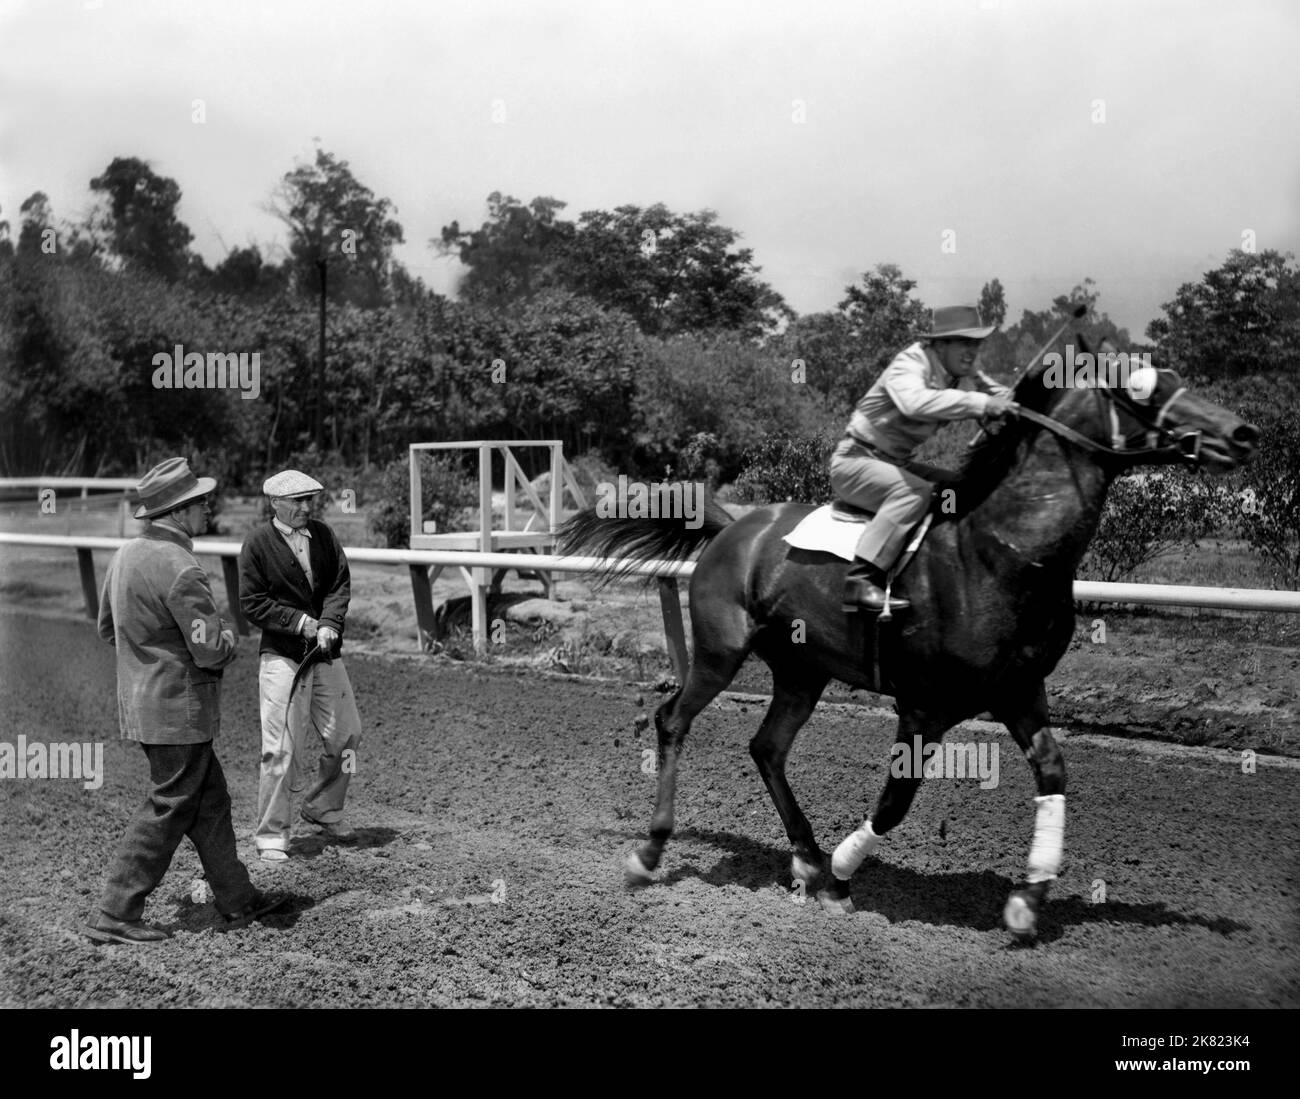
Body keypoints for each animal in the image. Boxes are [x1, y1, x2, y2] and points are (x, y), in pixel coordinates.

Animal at [553, 338, 1253, 941]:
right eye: (1141, 384)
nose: (1241, 433)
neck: (999, 554)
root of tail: (733, 524)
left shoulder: (1021, 690)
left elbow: (1054, 771)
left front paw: (1027, 900)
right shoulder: (923, 706)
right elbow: (895, 802)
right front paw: (842, 879)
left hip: (803, 671)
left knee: (767, 747)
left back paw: (804, 856)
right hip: (722, 652)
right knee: (673, 719)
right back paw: (652, 852)